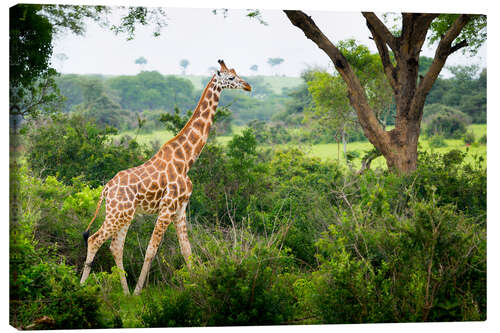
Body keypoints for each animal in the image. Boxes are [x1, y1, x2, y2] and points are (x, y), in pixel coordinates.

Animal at [80, 59, 252, 294]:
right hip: (117, 214)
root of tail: (106, 188)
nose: (248, 86)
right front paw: (138, 293)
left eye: (236, 73)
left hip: (125, 214)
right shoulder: (167, 207)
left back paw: (124, 293)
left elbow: (187, 250)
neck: (186, 160)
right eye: (231, 77)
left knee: (115, 246)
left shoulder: (180, 209)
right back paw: (82, 287)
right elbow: (151, 249)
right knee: (94, 239)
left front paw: (198, 286)